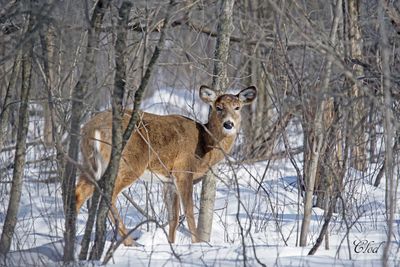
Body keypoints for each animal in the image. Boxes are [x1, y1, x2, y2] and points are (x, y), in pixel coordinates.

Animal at [74, 86, 256, 247]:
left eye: (237, 107)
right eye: (218, 107)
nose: (228, 124)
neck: (205, 146)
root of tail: (92, 128)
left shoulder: (168, 181)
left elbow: (173, 218)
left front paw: (171, 244)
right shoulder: (183, 170)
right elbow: (189, 212)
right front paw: (198, 244)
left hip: (89, 161)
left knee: (79, 192)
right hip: (129, 162)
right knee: (108, 193)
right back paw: (130, 242)